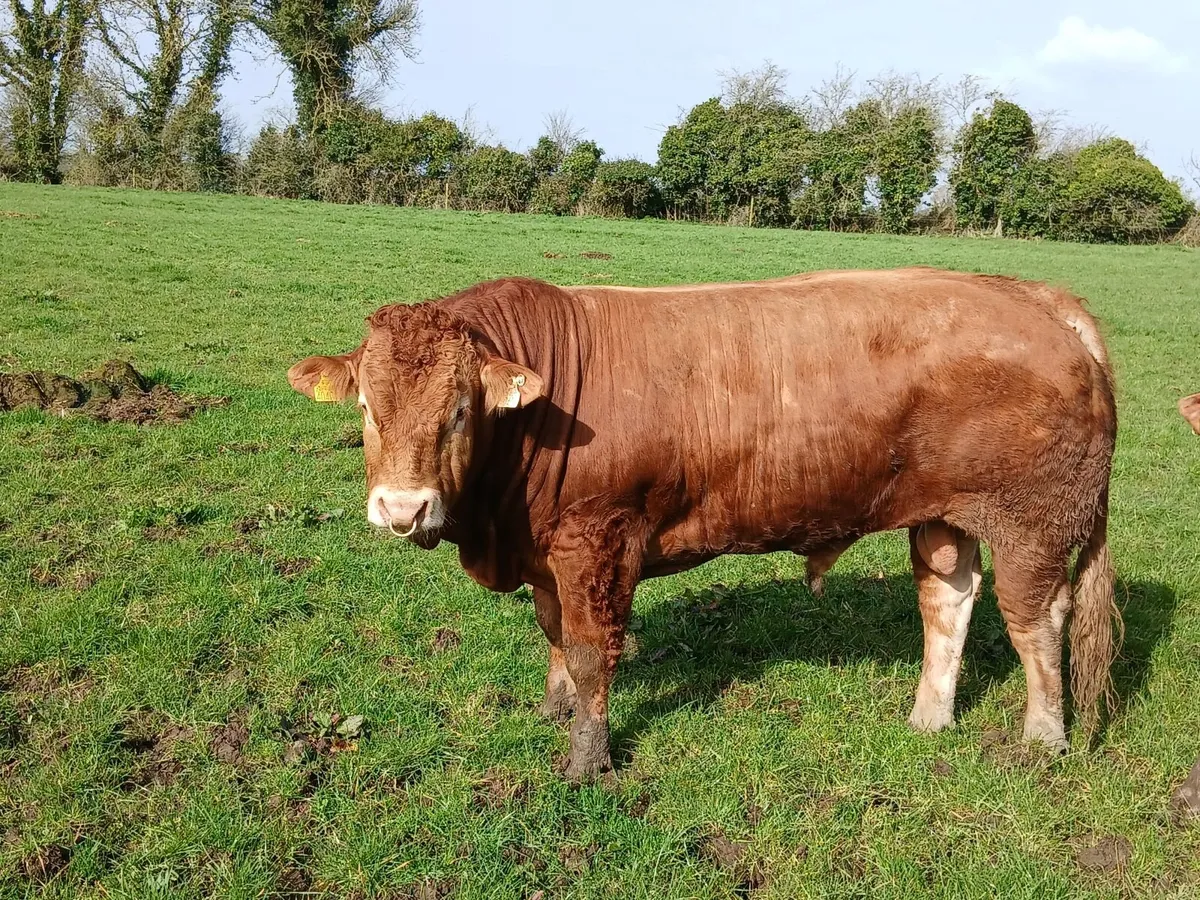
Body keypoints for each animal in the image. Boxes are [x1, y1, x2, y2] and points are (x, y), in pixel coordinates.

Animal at [288, 267, 1121, 781]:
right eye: (367, 406)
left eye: (460, 410)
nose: (402, 509)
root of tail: (1034, 294)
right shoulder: (547, 549)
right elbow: (553, 632)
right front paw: (554, 709)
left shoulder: (597, 538)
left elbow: (590, 651)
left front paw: (587, 761)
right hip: (946, 517)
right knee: (948, 599)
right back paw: (928, 719)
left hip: (1034, 523)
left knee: (1036, 620)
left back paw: (1043, 739)